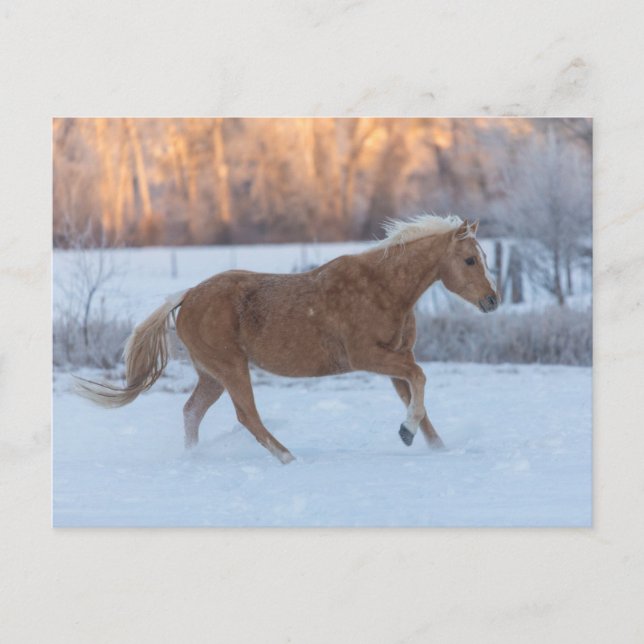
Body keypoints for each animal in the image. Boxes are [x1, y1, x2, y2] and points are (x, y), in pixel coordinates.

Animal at [76, 215, 499, 464]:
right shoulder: (367, 357)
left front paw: (433, 446)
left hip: (212, 375)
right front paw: (406, 432)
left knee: (192, 412)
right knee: (247, 416)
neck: (384, 288)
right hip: (231, 368)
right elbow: (421, 378)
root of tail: (187, 295)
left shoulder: (395, 361)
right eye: (469, 260)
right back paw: (289, 458)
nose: (492, 300)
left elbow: (418, 398)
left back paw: (195, 457)